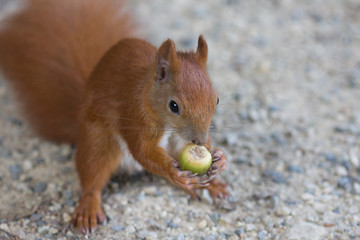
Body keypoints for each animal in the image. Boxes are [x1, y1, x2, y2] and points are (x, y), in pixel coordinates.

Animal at [0, 0, 229, 233]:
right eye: (174, 106)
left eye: (217, 99)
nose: (199, 141)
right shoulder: (135, 116)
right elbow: (142, 151)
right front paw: (173, 172)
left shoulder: (180, 138)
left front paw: (219, 158)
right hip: (99, 141)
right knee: (92, 175)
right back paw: (89, 207)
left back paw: (211, 186)